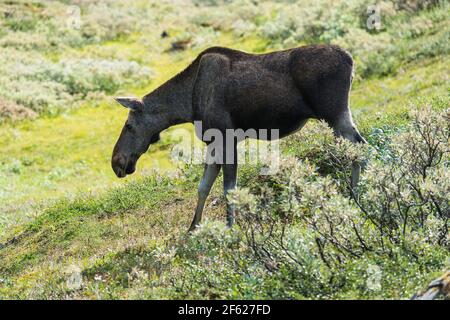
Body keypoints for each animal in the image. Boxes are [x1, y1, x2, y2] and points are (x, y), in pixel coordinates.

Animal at [111, 44, 366, 230]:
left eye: (129, 125)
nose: (117, 162)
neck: (187, 104)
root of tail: (350, 60)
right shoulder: (214, 142)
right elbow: (203, 187)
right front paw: (193, 228)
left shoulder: (227, 138)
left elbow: (228, 189)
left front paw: (230, 227)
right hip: (334, 118)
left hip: (334, 113)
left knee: (360, 148)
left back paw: (357, 194)